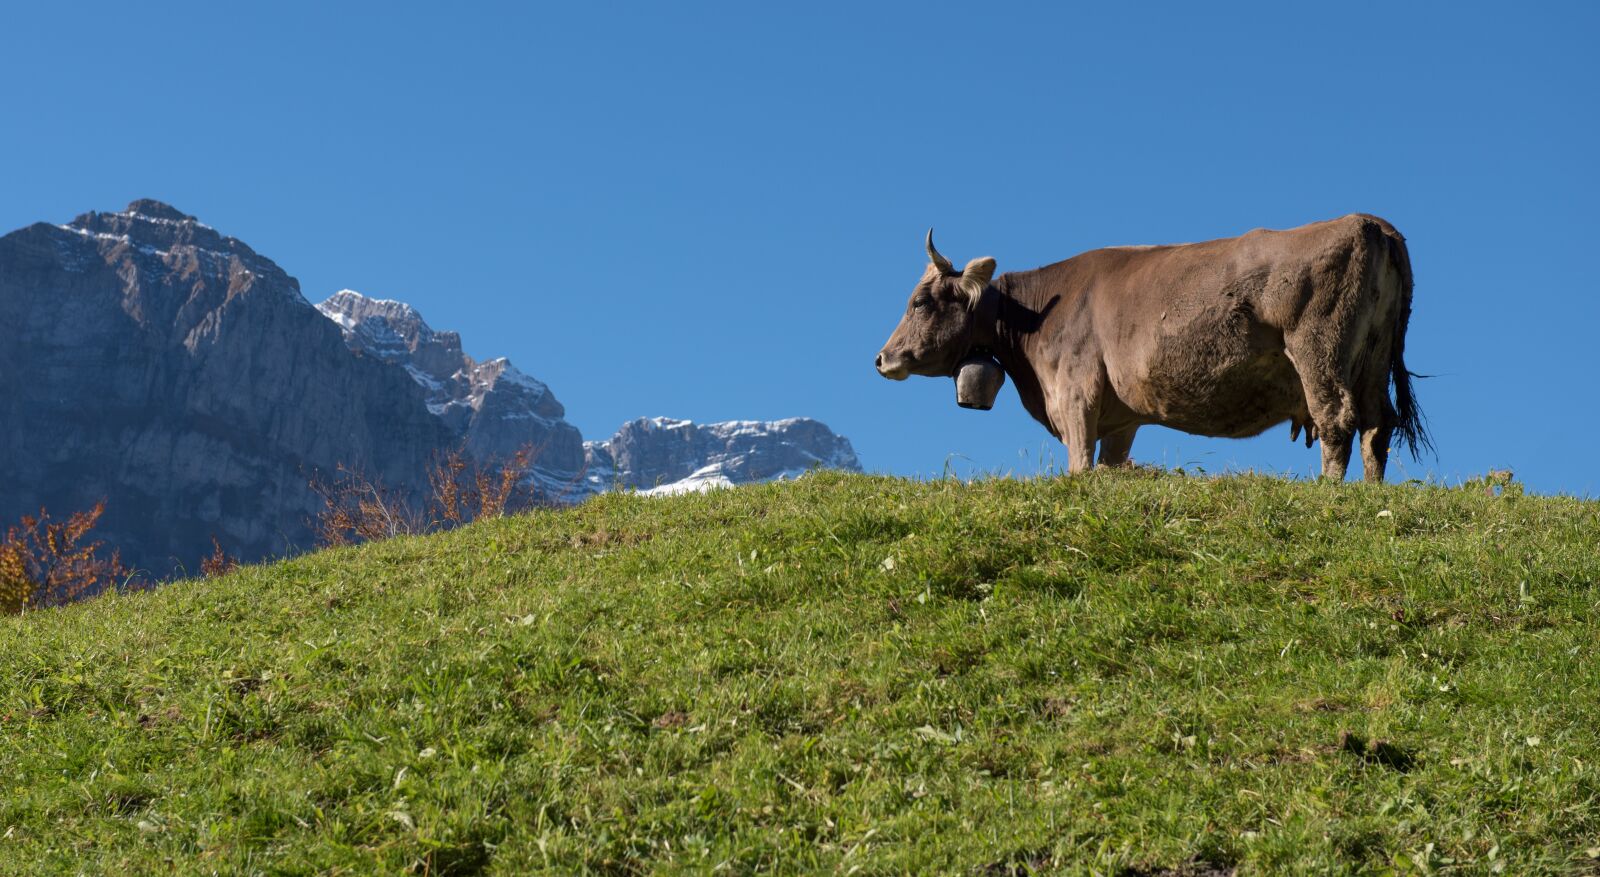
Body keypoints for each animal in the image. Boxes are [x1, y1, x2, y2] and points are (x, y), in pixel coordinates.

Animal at [874, 215, 1430, 482]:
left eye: (920, 301)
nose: (881, 358)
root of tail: (1368, 222)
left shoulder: (1076, 394)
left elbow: (1079, 464)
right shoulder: (1121, 419)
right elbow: (1108, 463)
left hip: (1319, 352)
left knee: (1337, 419)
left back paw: (1329, 491)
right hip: (1372, 360)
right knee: (1377, 426)